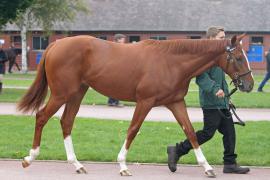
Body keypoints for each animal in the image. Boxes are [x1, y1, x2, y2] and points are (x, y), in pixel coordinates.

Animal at [17, 34, 253, 177]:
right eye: (239, 58)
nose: (249, 84)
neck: (171, 61)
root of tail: (56, 44)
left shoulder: (175, 102)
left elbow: (191, 132)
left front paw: (207, 167)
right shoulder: (145, 101)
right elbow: (133, 130)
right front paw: (122, 165)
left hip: (77, 93)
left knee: (66, 122)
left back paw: (77, 164)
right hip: (61, 94)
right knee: (42, 116)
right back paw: (30, 157)